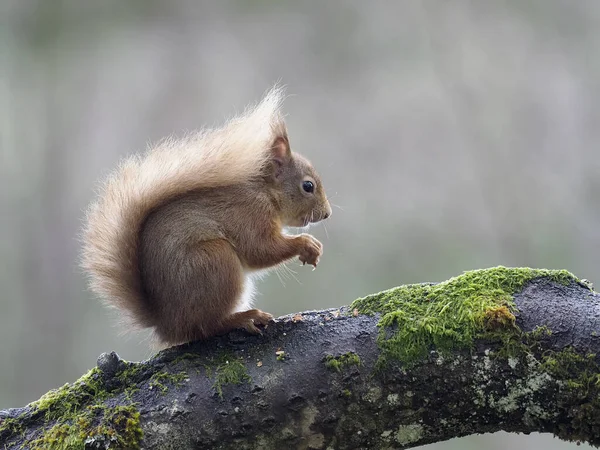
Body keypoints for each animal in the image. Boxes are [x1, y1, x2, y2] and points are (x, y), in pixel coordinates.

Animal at [80, 89, 332, 348]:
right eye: (308, 186)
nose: (327, 213)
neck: (266, 193)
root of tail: (166, 324)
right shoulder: (250, 214)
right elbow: (260, 249)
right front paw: (306, 244)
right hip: (216, 261)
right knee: (205, 326)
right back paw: (243, 318)